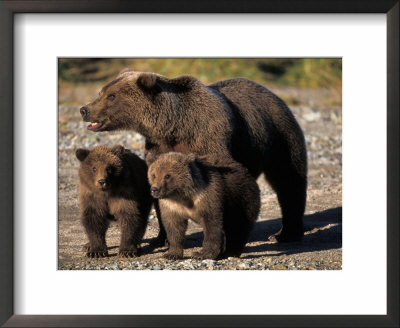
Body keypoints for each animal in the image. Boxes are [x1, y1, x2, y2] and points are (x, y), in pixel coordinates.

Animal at [79, 69, 308, 243]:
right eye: (101, 92)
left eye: (111, 96)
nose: (84, 109)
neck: (174, 127)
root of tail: (273, 94)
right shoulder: (157, 149)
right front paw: (161, 238)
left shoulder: (209, 140)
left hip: (280, 135)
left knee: (289, 181)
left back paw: (285, 234)